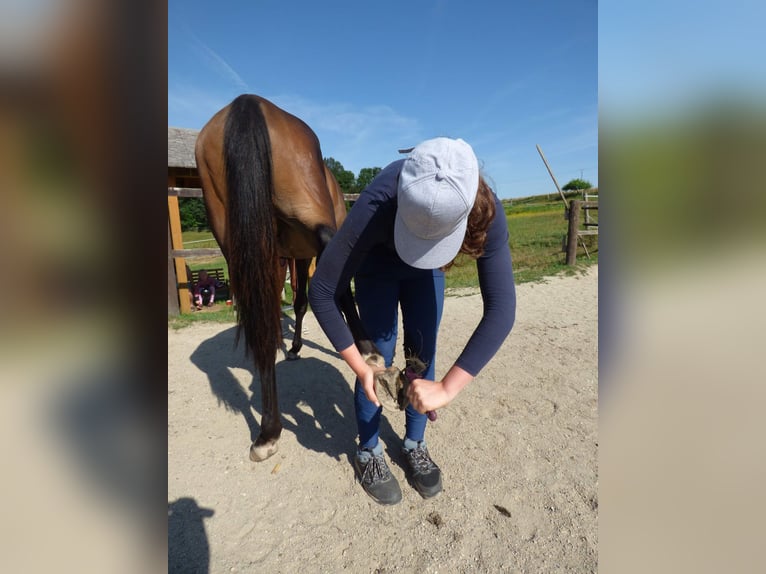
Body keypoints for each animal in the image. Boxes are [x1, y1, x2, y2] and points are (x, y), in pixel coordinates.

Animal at [195, 94, 378, 464]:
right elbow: (306, 299)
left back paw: (268, 431)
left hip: (241, 243)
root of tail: (248, 103)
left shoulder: (282, 255)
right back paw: (367, 352)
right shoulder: (301, 254)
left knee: (261, 321)